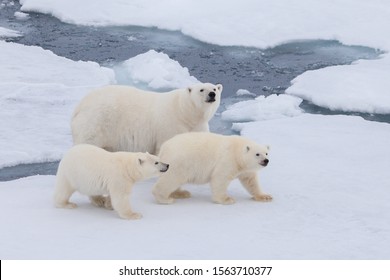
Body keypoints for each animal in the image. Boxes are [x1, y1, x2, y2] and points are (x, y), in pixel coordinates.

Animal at [71, 82, 222, 154]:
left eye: (214, 88)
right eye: (201, 89)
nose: (212, 94)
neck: (185, 111)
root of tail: (79, 106)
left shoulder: (199, 126)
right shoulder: (170, 125)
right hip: (96, 122)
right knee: (88, 142)